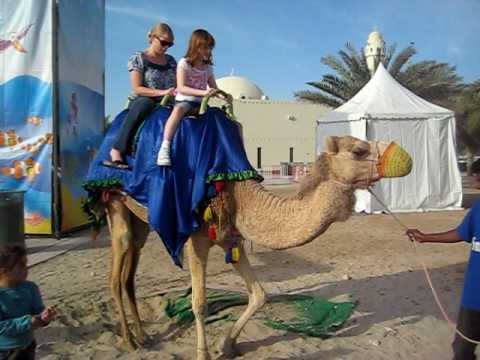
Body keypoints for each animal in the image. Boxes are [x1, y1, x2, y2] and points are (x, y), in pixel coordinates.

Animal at [102, 136, 412, 360]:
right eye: (359, 150)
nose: (406, 158)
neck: (239, 195)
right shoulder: (196, 239)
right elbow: (199, 302)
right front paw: (203, 354)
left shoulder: (232, 237)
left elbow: (260, 295)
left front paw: (227, 345)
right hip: (115, 205)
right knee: (117, 272)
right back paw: (129, 341)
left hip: (141, 221)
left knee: (130, 275)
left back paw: (143, 335)